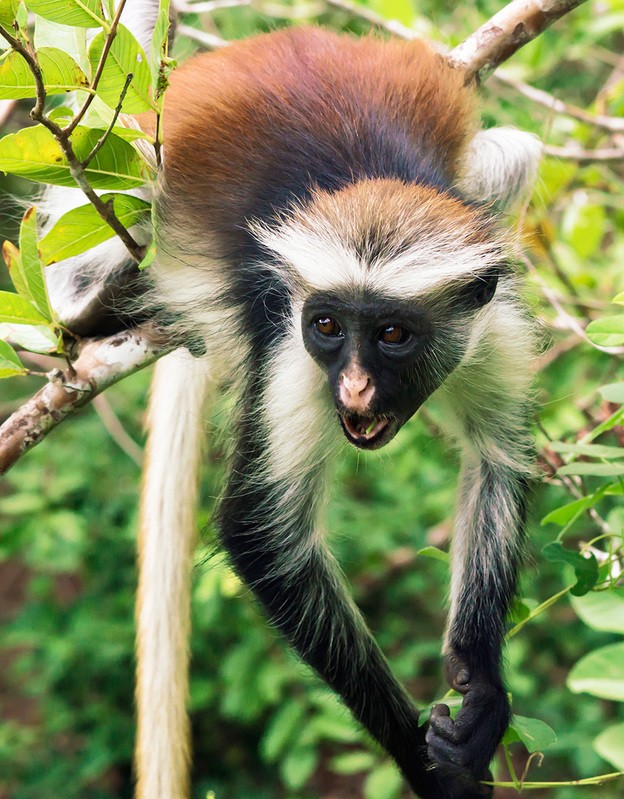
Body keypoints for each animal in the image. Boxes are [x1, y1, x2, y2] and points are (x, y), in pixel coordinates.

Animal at [42, 10, 540, 799]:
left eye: (392, 335)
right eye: (330, 327)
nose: (355, 387)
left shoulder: (490, 320)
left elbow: (494, 455)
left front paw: (482, 688)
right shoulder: (290, 342)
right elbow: (260, 536)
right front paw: (426, 765)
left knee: (513, 152)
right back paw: (95, 306)